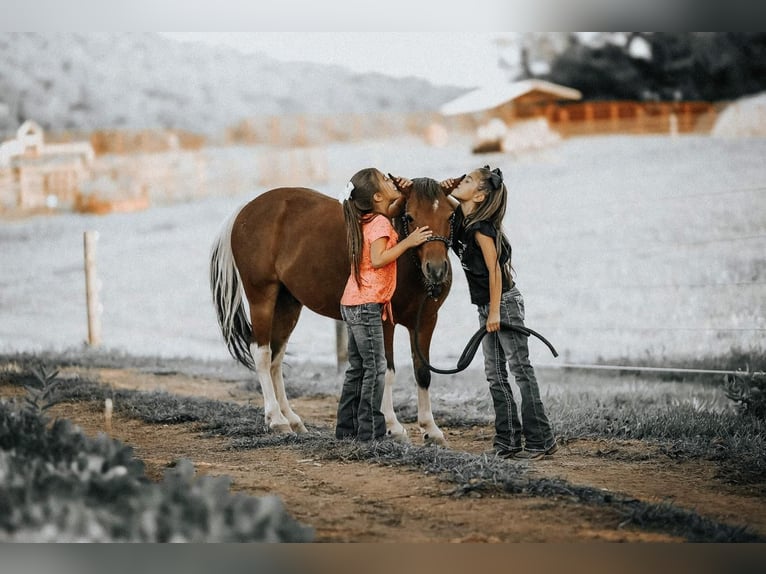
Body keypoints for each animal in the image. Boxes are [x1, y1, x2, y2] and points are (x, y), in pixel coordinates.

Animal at [210, 178, 460, 448]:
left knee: (276, 358)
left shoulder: (426, 322)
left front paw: (431, 430)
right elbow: (387, 370)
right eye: (410, 217)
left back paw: (292, 420)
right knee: (262, 354)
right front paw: (393, 427)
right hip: (262, 299)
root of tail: (244, 211)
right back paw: (276, 419)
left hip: (288, 305)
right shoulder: (385, 323)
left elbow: (422, 373)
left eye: (449, 215)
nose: (436, 270)